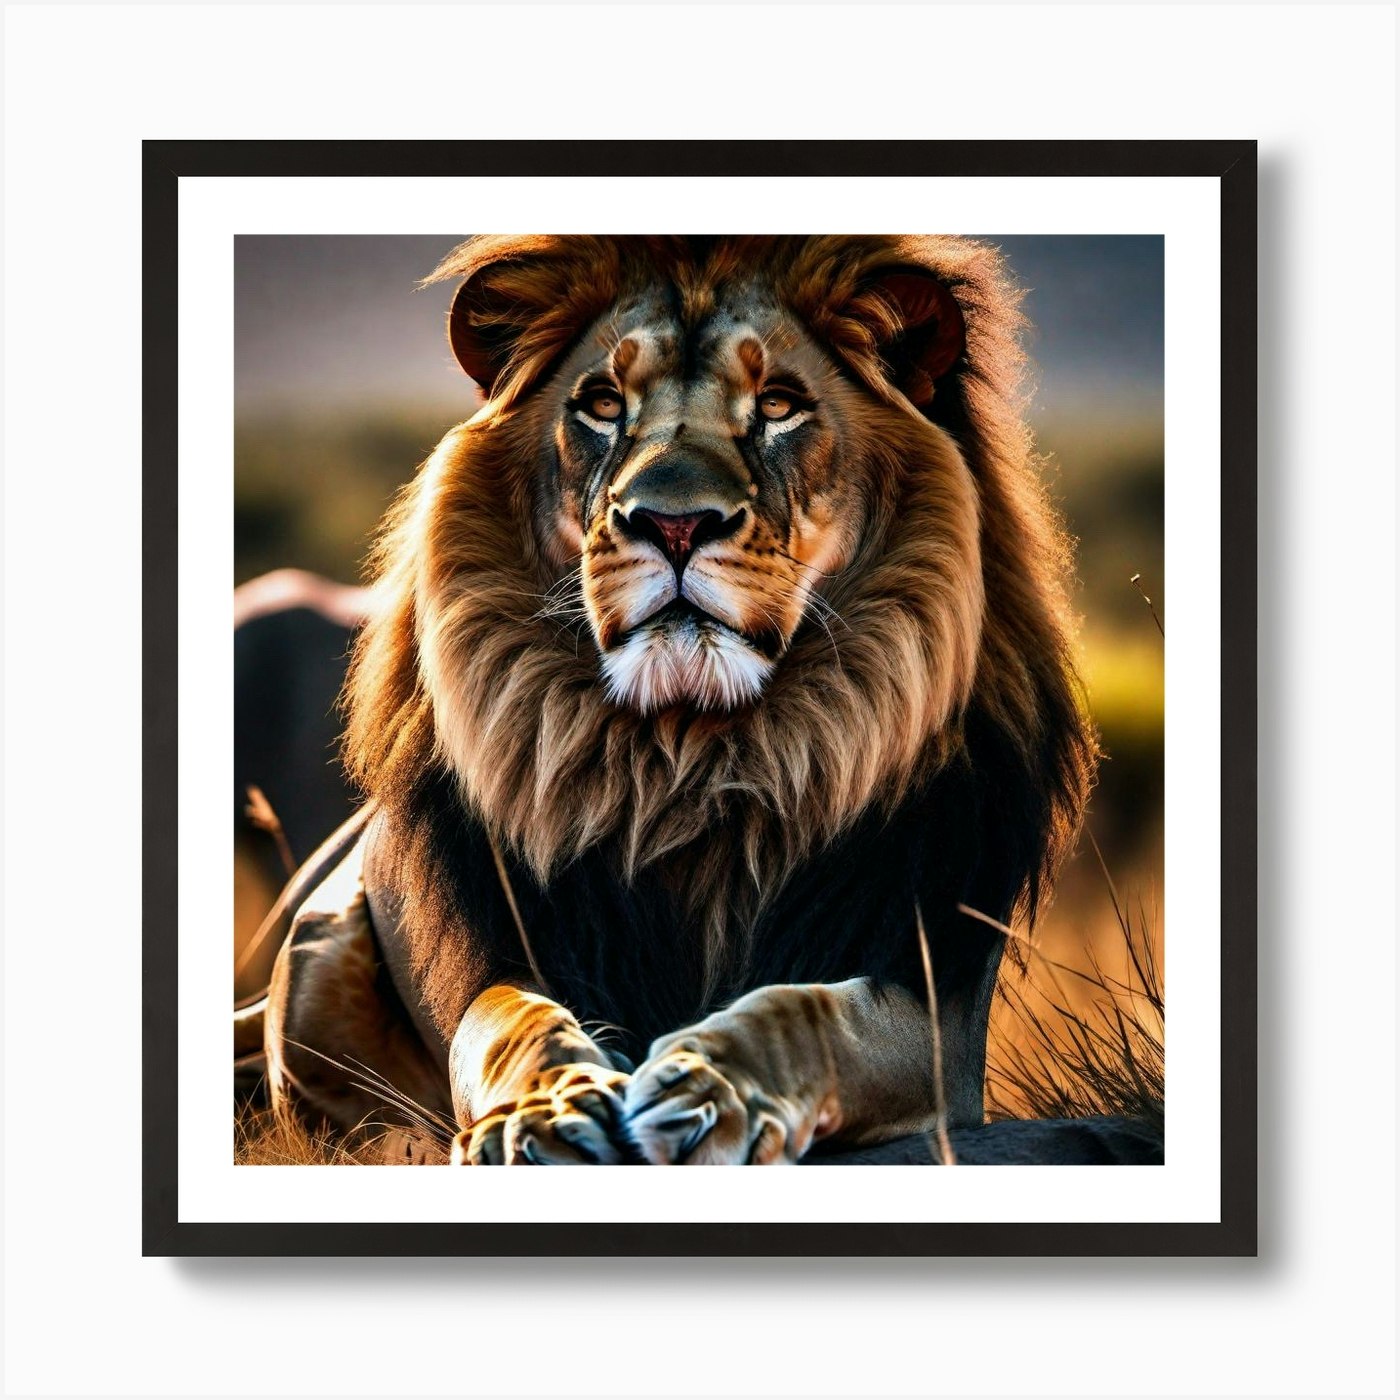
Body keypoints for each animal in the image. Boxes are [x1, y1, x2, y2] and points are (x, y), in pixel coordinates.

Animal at [254, 234, 1097, 1165]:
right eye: (601, 404)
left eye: (778, 405)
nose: (673, 524)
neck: (692, 758)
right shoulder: (501, 954)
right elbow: (513, 1021)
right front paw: (546, 1110)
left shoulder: (938, 1012)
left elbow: (812, 1010)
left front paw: (709, 1088)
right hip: (318, 944)